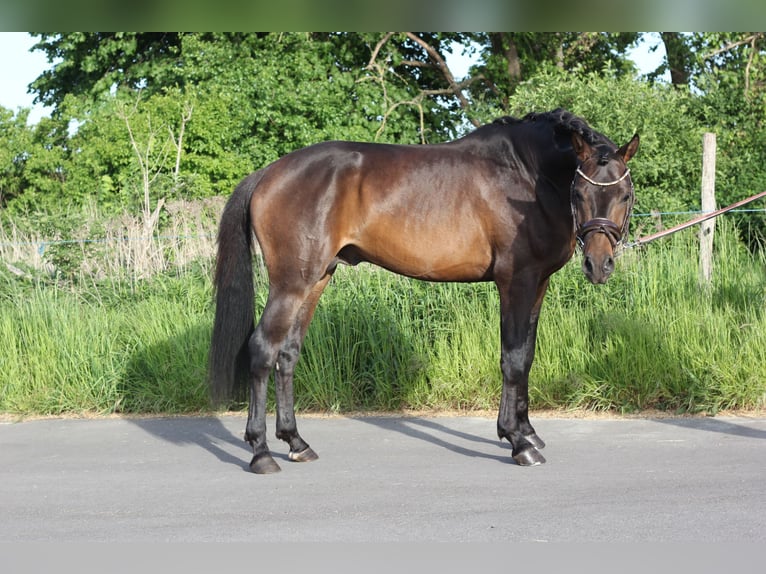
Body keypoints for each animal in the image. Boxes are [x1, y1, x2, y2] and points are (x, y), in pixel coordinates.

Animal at [207, 109, 640, 476]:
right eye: (579, 193)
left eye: (625, 195)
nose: (598, 265)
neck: (526, 174)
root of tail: (268, 173)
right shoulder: (516, 281)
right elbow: (513, 359)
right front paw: (518, 442)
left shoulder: (538, 284)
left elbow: (527, 356)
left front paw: (528, 431)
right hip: (291, 284)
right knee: (263, 349)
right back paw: (261, 453)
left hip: (316, 279)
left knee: (288, 354)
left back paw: (297, 443)